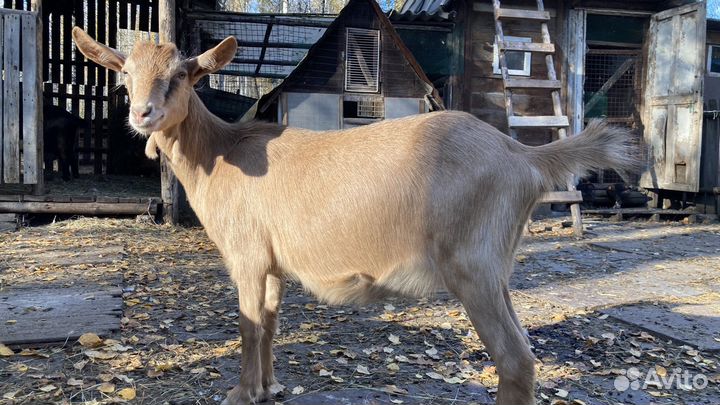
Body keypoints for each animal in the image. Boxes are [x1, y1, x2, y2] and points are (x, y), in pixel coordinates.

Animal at [73, 28, 635, 405]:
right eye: (125, 74)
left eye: (182, 75)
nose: (141, 114)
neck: (222, 150)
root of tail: (523, 156)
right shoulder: (273, 264)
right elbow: (270, 323)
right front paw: (269, 386)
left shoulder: (247, 256)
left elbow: (249, 326)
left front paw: (241, 393)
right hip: (496, 268)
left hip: (471, 265)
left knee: (515, 359)